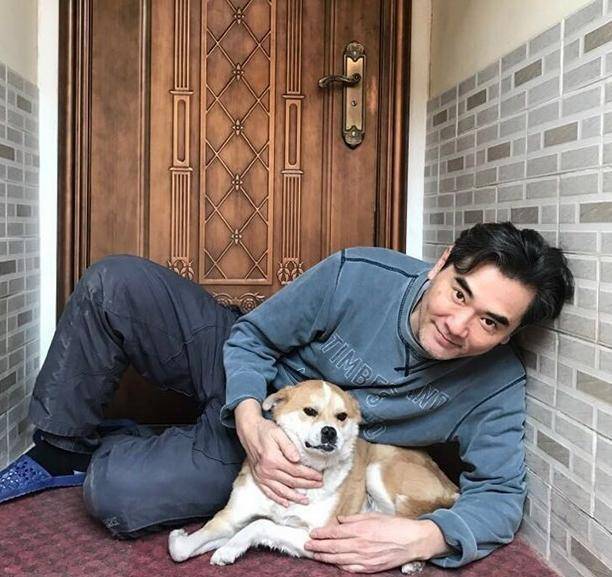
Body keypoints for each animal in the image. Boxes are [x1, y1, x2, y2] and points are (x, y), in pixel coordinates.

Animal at [168, 380, 458, 573]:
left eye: (342, 416)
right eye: (310, 411)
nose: (330, 432)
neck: (305, 473)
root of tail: (448, 481)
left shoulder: (317, 536)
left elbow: (260, 525)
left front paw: (229, 549)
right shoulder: (231, 518)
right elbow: (181, 551)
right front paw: (179, 537)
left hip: (377, 471)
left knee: (410, 522)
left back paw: (412, 559)